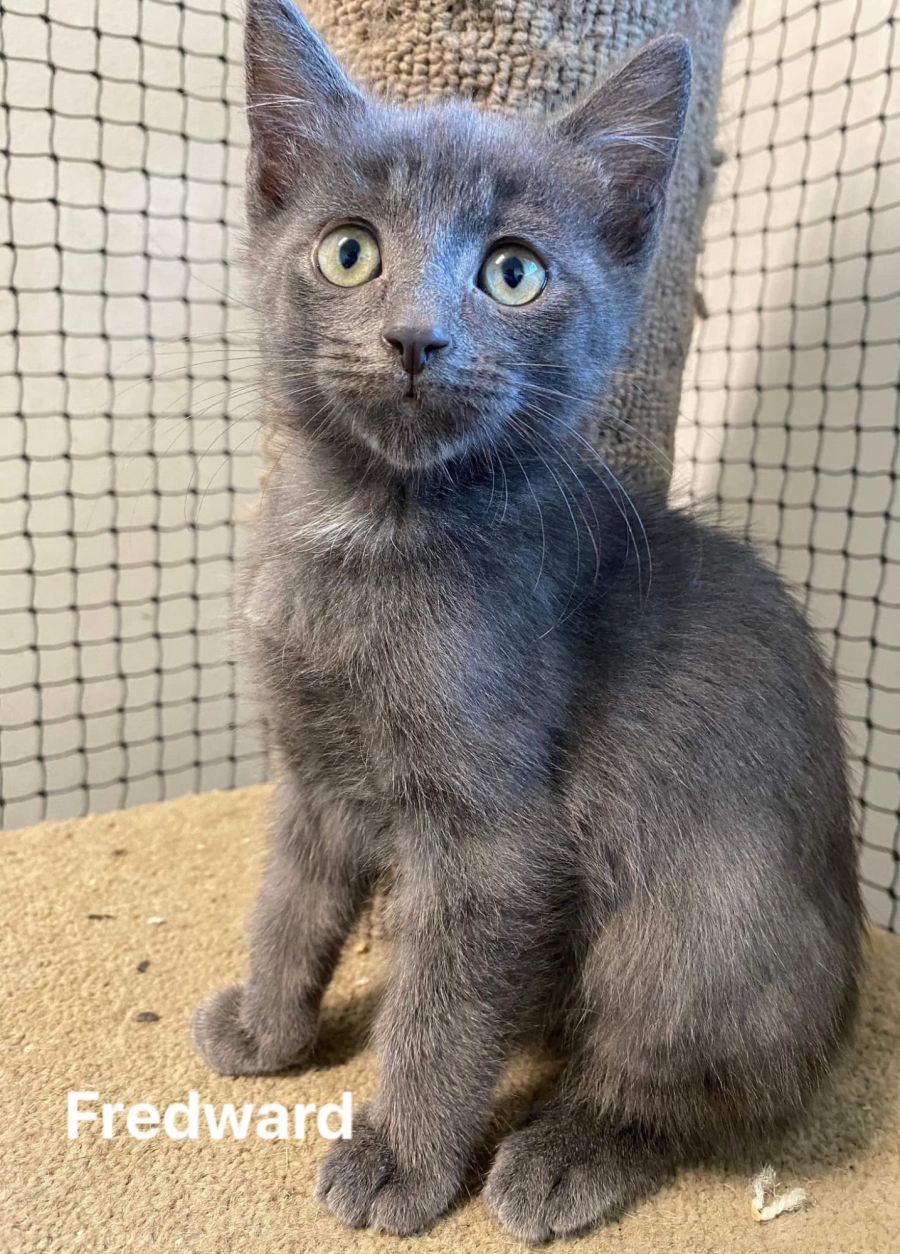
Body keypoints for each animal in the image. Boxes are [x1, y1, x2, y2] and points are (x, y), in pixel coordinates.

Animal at [193, 0, 863, 1240]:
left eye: (513, 273)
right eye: (349, 249)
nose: (417, 338)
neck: (371, 531)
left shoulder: (493, 836)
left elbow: (441, 1008)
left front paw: (403, 1161)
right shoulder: (312, 770)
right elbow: (291, 901)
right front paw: (268, 1029)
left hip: (700, 922)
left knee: (696, 1086)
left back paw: (564, 1154)